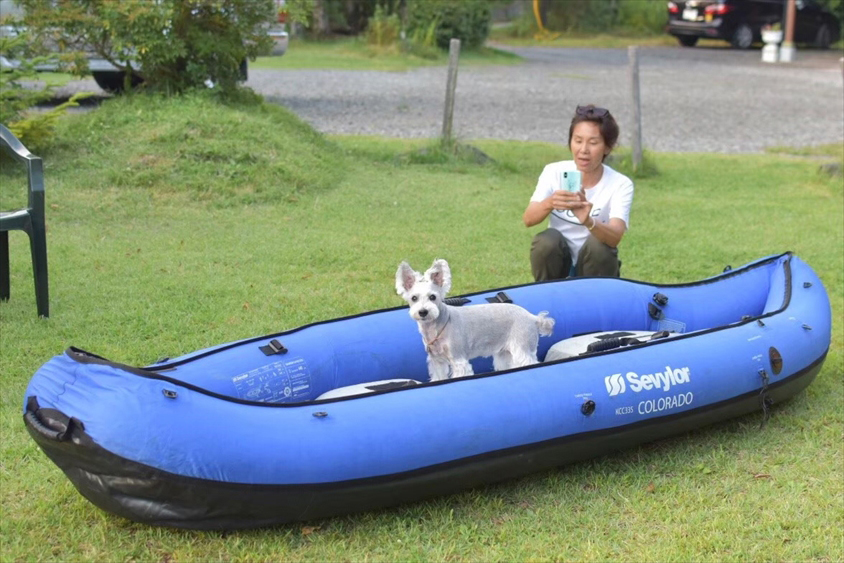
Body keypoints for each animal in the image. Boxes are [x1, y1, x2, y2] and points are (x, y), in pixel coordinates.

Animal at [395, 259, 555, 381]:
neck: (437, 327)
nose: (423, 312)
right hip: (504, 354)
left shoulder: (459, 361)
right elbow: (439, 377)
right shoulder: (437, 362)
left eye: (433, 297)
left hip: (522, 350)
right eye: (413, 298)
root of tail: (532, 317)